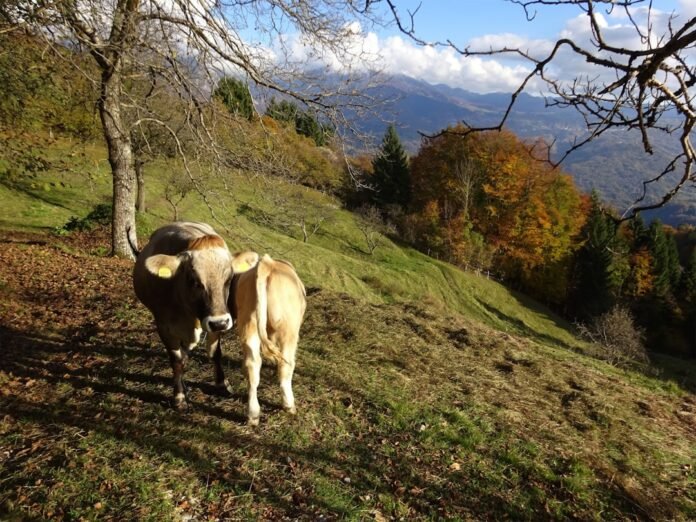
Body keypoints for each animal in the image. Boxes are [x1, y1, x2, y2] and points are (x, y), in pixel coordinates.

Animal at [132, 222, 256, 410]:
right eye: (194, 281)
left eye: (229, 279)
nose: (220, 323)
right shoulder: (164, 326)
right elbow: (176, 360)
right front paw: (179, 396)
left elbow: (214, 353)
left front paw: (222, 383)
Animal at [209, 253, 306, 426]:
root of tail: (267, 263)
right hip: (289, 330)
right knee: (286, 365)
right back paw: (289, 405)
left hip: (250, 323)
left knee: (252, 365)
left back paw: (253, 414)